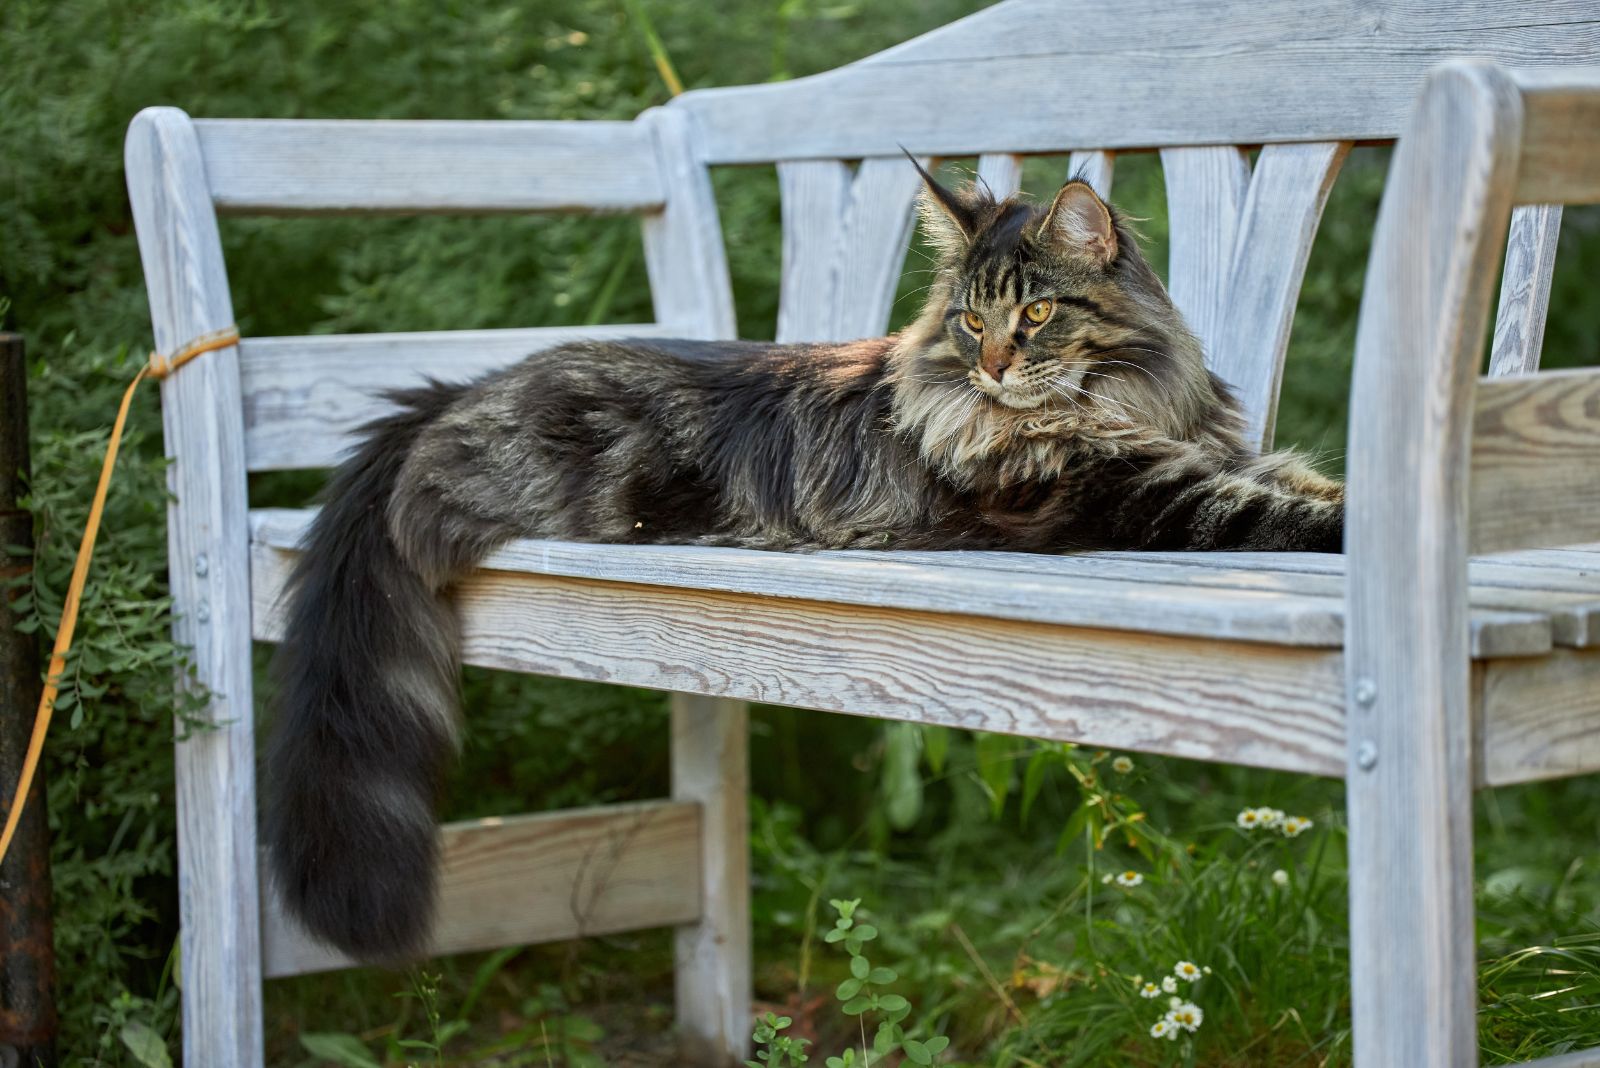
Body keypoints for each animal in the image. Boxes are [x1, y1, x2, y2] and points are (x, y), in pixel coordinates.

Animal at [268, 164, 1344, 959]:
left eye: (1036, 316)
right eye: (971, 321)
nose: (993, 366)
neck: (1117, 405)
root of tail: (456, 390)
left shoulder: (1213, 460)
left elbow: (1310, 486)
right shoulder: (1133, 497)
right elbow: (1285, 516)